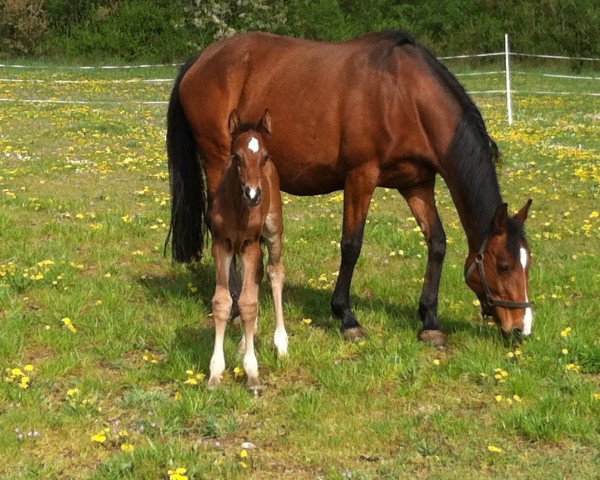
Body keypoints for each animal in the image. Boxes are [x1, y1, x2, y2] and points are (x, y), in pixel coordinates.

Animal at [165, 31, 536, 344]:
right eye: (504, 265)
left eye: (527, 262)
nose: (522, 329)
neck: (405, 94)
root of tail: (200, 59)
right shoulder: (361, 176)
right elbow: (351, 245)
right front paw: (347, 318)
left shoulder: (417, 183)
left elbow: (437, 243)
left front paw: (430, 320)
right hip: (219, 164)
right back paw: (235, 307)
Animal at [207, 109, 288, 394]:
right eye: (236, 157)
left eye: (265, 156)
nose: (253, 194)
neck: (238, 208)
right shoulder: (222, 245)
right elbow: (225, 301)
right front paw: (215, 373)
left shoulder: (252, 244)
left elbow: (249, 303)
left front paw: (252, 374)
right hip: (241, 250)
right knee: (250, 281)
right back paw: (244, 341)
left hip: (272, 232)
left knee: (275, 273)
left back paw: (281, 342)